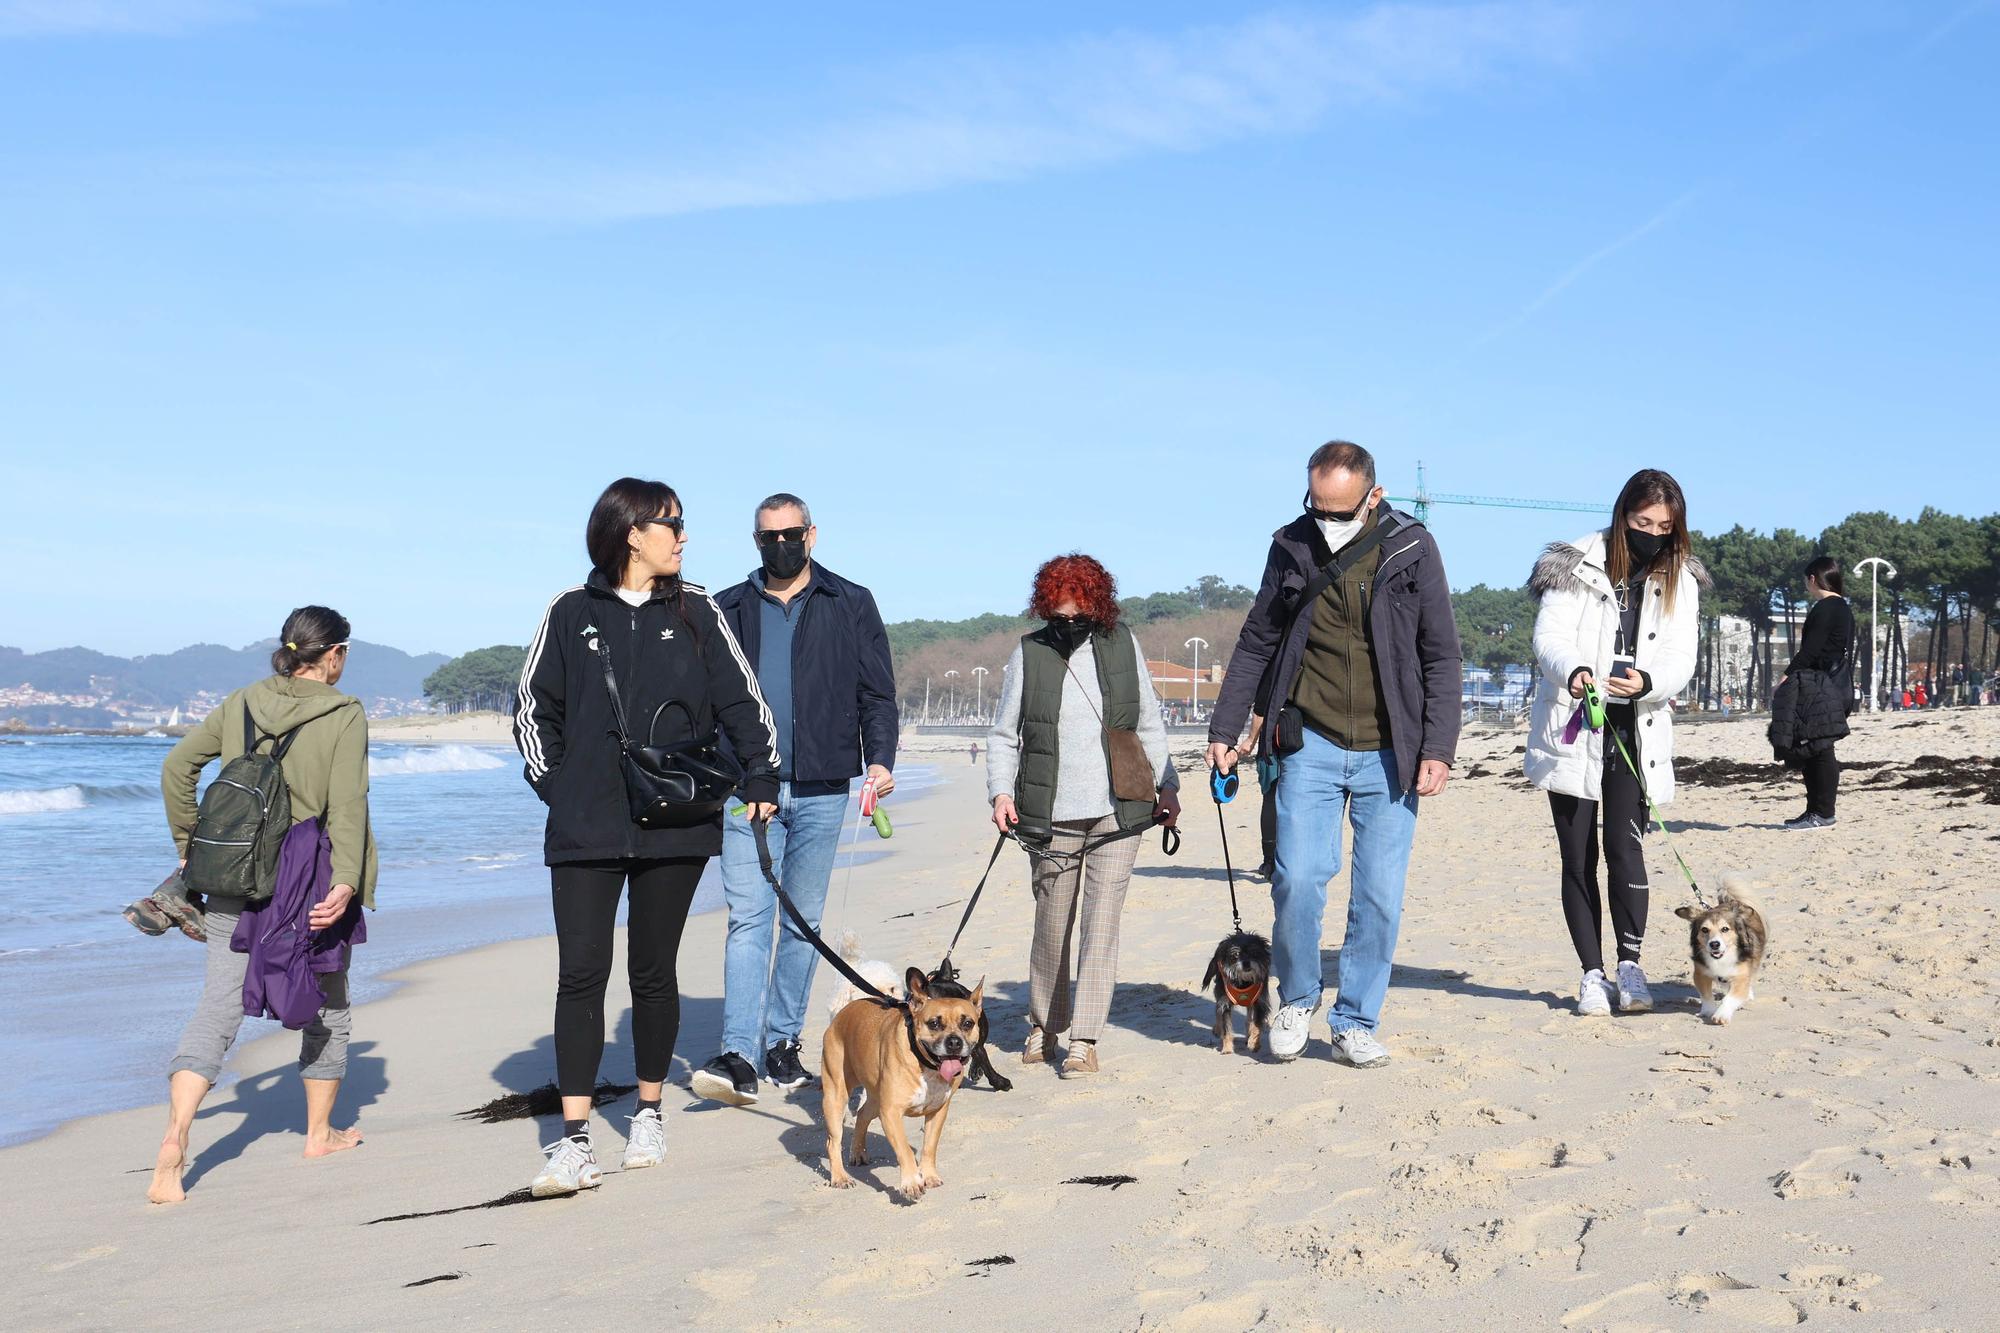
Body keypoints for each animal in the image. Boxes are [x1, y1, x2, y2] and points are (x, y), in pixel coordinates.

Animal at [1200, 928, 1264, 1056]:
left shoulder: (1259, 1003)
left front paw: (1254, 1043)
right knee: (1217, 1011)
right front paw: (1227, 1048)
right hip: (1219, 992)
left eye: (1254, 952)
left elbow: (1256, 1025)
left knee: (1248, 1018)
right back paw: (1217, 1029)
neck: (1244, 981)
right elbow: (1226, 1028)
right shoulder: (1225, 1003)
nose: (1246, 963)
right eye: (1236, 954)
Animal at [1672, 876, 1768, 1020]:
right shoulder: (1700, 973)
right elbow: (1706, 995)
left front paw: (1721, 1015)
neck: (1722, 958)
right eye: (1704, 929)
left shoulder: (1741, 975)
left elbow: (1731, 997)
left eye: (1725, 929)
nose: (1714, 944)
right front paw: (1708, 1011)